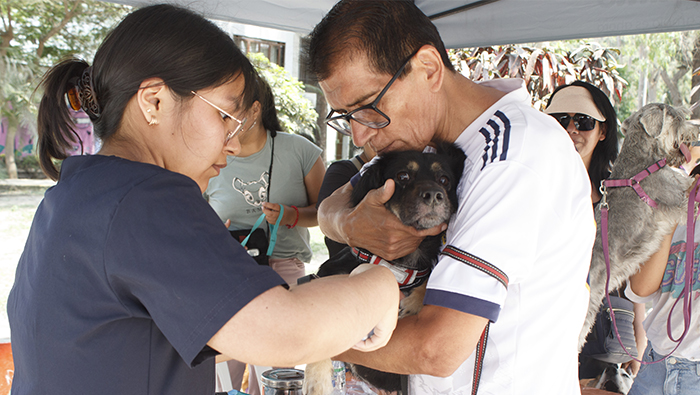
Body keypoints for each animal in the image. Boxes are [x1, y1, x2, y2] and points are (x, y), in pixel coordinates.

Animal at [304, 142, 464, 395]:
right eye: (403, 176)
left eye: (444, 179)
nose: (434, 195)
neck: (398, 267)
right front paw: (316, 379)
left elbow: (427, 279)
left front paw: (414, 301)